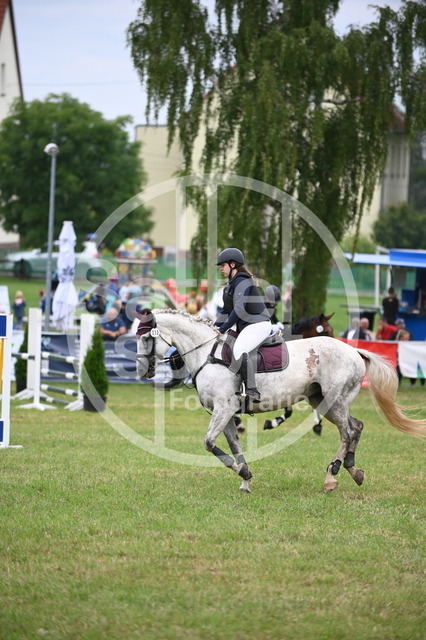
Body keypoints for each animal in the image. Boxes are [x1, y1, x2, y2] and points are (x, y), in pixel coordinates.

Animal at [136, 309, 426, 494]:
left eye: (146, 338)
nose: (141, 371)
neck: (207, 352)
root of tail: (353, 350)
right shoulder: (226, 413)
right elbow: (234, 446)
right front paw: (245, 479)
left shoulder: (224, 408)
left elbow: (209, 443)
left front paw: (242, 473)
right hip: (322, 401)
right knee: (357, 426)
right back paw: (353, 470)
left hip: (336, 400)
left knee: (348, 432)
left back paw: (332, 476)